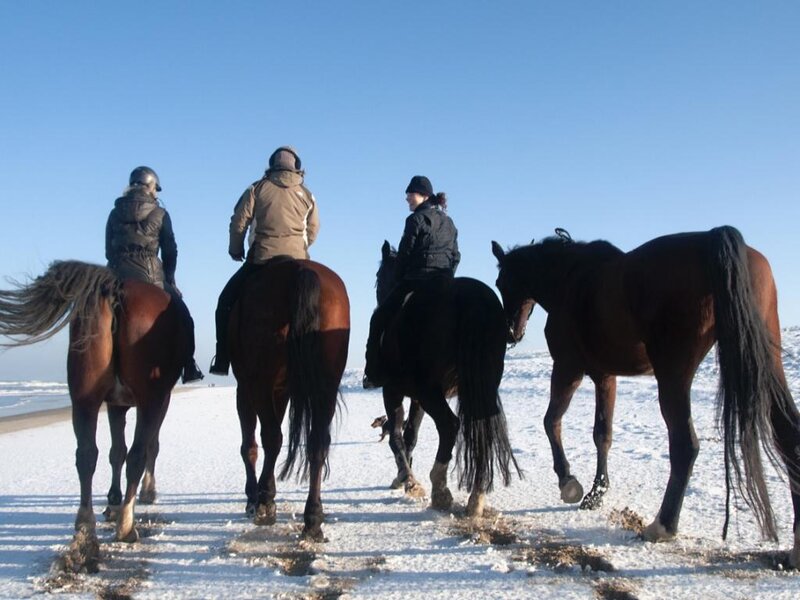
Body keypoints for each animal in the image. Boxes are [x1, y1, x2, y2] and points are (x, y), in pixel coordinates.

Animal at [0, 260, 189, 562]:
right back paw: (126, 525)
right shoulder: (158, 400)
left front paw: (113, 500)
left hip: (84, 397)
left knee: (87, 454)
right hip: (149, 399)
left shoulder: (115, 404)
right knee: (135, 454)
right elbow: (145, 447)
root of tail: (117, 287)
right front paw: (143, 493)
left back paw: (86, 526)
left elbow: (116, 451)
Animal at [226, 258, 349, 541]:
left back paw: (264, 503)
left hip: (259, 382)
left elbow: (249, 444)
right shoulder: (280, 391)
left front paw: (254, 497)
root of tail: (300, 271)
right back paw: (313, 518)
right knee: (317, 443)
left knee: (271, 438)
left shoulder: (246, 389)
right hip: (326, 386)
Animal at [372, 241, 519, 517]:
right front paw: (404, 478)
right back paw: (476, 497)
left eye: (378, 277)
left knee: (449, 425)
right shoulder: (417, 398)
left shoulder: (393, 390)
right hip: (478, 387)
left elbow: (397, 436)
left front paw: (408, 480)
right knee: (480, 429)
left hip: (430, 390)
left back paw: (440, 490)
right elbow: (410, 435)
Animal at [492, 226, 800, 567]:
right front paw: (597, 492)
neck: (571, 279)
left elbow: (551, 422)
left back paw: (662, 525)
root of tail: (712, 238)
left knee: (685, 445)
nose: (511, 333)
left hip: (674, 375)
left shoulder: (568, 367)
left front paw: (568, 481)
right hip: (764, 361)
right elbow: (602, 434)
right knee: (788, 434)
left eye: (502, 283)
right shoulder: (605, 376)